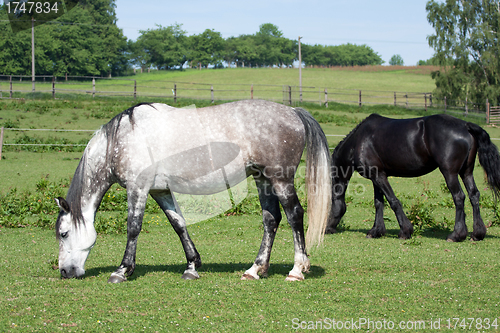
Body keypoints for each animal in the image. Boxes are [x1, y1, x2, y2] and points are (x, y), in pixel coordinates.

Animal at [54, 100, 332, 282]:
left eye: (64, 234)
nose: (65, 272)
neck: (124, 138)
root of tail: (293, 111)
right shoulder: (159, 190)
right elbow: (179, 224)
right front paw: (191, 266)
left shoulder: (138, 188)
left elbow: (133, 227)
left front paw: (122, 270)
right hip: (262, 178)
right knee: (271, 219)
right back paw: (255, 270)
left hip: (280, 179)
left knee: (294, 214)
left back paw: (296, 270)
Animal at [326, 112, 500, 241]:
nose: (326, 229)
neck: (359, 141)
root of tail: (465, 126)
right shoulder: (377, 177)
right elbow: (378, 203)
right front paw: (376, 231)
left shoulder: (379, 177)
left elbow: (393, 201)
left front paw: (405, 231)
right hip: (466, 172)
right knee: (474, 195)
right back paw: (477, 234)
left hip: (449, 173)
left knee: (459, 197)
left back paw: (456, 235)